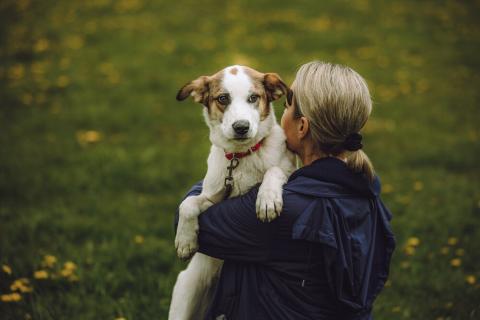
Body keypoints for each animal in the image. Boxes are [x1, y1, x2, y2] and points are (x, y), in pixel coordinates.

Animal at [169, 65, 296, 320]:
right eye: (222, 99)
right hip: (187, 287)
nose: (241, 127)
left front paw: (267, 200)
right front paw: (185, 241)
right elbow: (188, 203)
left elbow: (274, 169)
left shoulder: (289, 168)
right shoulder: (213, 198)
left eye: (254, 97)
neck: (241, 157)